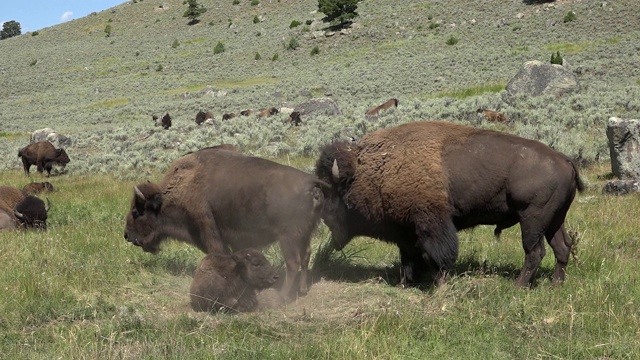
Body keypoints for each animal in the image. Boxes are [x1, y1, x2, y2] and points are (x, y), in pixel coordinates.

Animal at [316, 122, 584, 288]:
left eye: (329, 190)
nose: (322, 215)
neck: (374, 168)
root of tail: (565, 160)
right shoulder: (407, 231)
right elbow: (408, 257)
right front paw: (406, 283)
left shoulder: (432, 224)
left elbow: (437, 255)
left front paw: (439, 284)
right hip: (554, 220)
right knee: (562, 247)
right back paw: (556, 284)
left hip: (532, 220)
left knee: (534, 252)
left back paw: (518, 286)